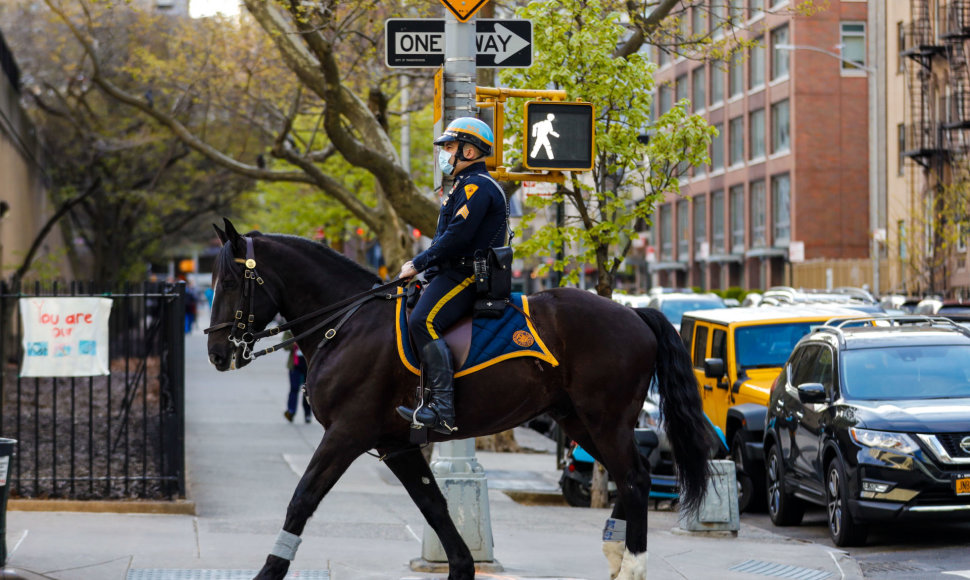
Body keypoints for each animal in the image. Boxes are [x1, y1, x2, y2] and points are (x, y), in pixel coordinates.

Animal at [204, 220, 708, 576]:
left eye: (228, 282)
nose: (216, 352)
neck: (347, 323)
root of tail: (634, 312)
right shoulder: (396, 444)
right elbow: (435, 507)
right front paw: (462, 567)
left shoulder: (347, 433)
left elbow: (302, 498)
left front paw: (270, 570)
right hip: (580, 421)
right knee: (630, 477)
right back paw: (614, 552)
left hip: (606, 419)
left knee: (637, 479)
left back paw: (633, 565)